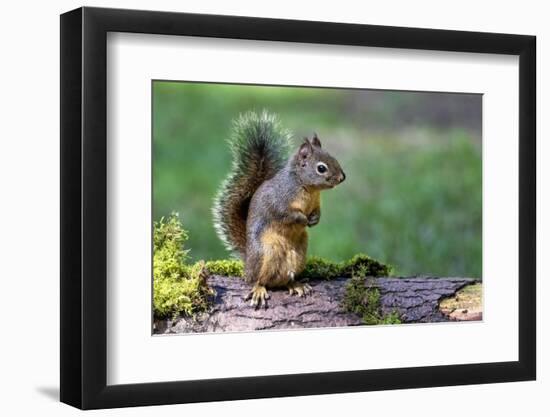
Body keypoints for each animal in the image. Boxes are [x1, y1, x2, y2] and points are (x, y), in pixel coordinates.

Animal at [213, 110, 348, 306]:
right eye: (321, 168)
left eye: (334, 158)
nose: (342, 177)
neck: (306, 188)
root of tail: (247, 265)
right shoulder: (280, 202)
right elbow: (287, 215)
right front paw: (303, 219)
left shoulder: (316, 203)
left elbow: (317, 212)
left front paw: (315, 219)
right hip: (266, 253)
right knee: (259, 280)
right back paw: (259, 289)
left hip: (298, 255)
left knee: (284, 279)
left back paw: (296, 285)